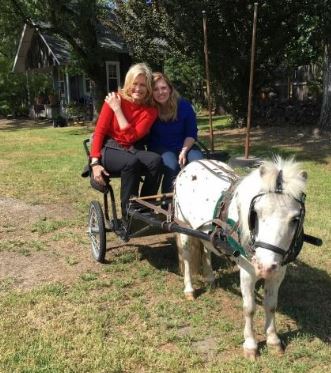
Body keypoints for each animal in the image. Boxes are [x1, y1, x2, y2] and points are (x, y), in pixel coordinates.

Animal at [175, 156, 308, 358]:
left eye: (295, 219)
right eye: (256, 214)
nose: (264, 266)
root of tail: (191, 164)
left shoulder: (279, 272)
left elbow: (271, 305)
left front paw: (273, 340)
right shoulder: (247, 272)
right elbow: (249, 308)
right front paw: (251, 345)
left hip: (205, 233)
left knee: (207, 250)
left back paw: (210, 279)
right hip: (183, 226)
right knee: (188, 258)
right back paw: (189, 289)